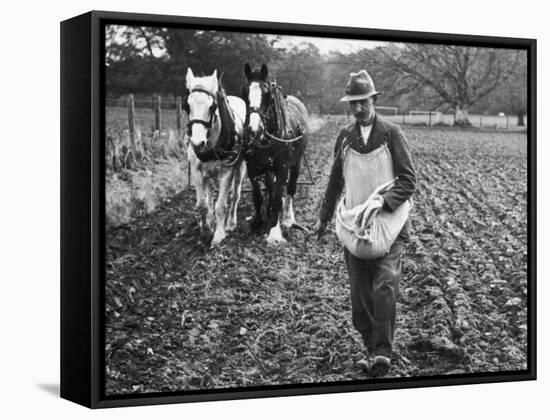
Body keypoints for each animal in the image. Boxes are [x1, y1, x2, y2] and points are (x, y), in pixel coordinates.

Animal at [187, 68, 247, 246]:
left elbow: (221, 205)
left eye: (212, 106)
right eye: (187, 106)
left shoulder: (227, 172)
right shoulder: (197, 172)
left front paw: (219, 234)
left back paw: (230, 223)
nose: (197, 143)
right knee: (209, 196)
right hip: (208, 173)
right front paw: (206, 229)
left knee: (235, 195)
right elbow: (202, 205)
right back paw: (211, 221)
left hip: (240, 168)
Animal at [243, 64, 310, 244]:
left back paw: (287, 218)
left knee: (291, 188)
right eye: (244, 92)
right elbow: (259, 195)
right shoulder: (252, 167)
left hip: (296, 162)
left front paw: (273, 231)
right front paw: (258, 221)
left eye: (266, 94)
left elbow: (278, 197)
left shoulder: (283, 168)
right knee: (270, 186)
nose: (254, 130)